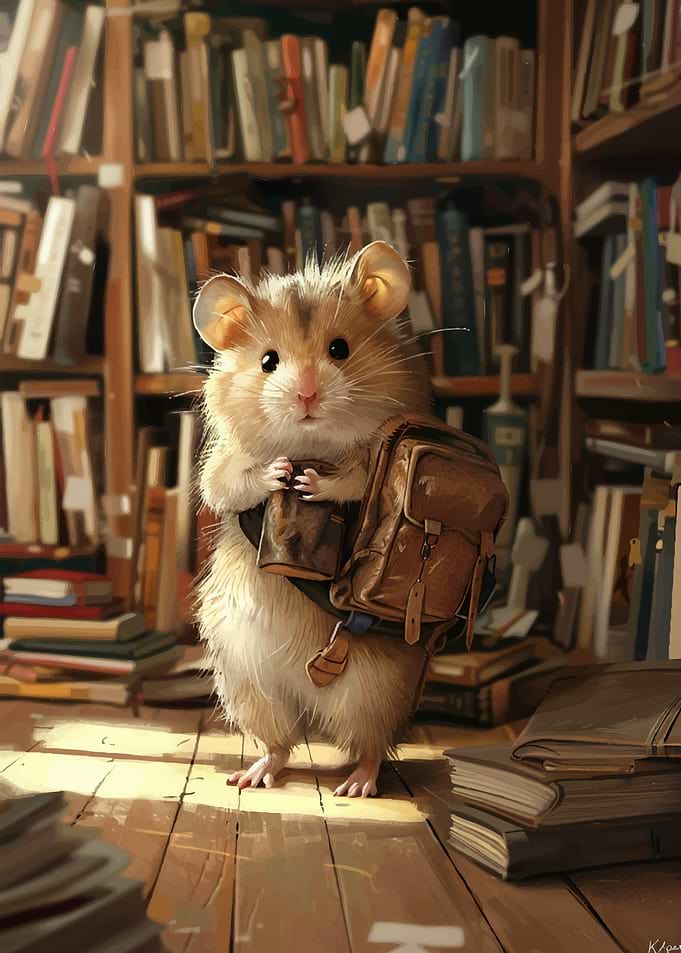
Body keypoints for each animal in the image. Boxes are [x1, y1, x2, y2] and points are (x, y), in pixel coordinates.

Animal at [194, 241, 431, 797]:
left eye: (340, 349)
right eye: (267, 361)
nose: (306, 396)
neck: (311, 444)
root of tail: (310, 701)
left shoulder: (378, 458)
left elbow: (357, 479)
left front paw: (311, 484)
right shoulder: (222, 465)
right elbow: (229, 484)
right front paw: (280, 472)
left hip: (374, 691)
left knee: (371, 745)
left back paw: (357, 787)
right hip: (247, 685)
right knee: (280, 742)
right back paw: (250, 777)